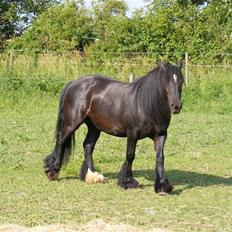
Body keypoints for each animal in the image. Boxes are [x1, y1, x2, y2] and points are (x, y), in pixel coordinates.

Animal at [44, 61, 184, 194]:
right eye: (166, 81)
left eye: (181, 81)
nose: (176, 106)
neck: (147, 105)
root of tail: (73, 83)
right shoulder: (132, 133)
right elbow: (130, 155)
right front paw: (128, 182)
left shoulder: (160, 135)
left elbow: (160, 158)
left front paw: (162, 186)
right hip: (72, 123)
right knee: (61, 141)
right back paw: (52, 172)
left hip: (94, 127)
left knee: (88, 146)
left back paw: (93, 176)